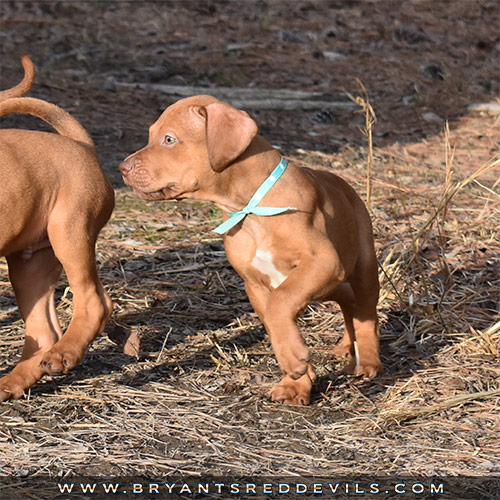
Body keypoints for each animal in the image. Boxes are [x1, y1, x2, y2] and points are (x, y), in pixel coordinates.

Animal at [0, 53, 114, 398]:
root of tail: (82, 146)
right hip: (29, 265)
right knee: (43, 333)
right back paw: (13, 382)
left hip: (70, 234)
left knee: (95, 302)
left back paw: (65, 354)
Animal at [121, 94, 382, 406]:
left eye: (169, 139)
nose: (122, 168)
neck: (250, 209)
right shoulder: (256, 286)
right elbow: (273, 319)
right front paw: (295, 381)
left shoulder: (322, 262)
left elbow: (281, 303)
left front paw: (294, 360)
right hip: (332, 283)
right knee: (348, 303)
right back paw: (346, 348)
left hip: (361, 266)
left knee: (365, 312)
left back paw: (366, 361)